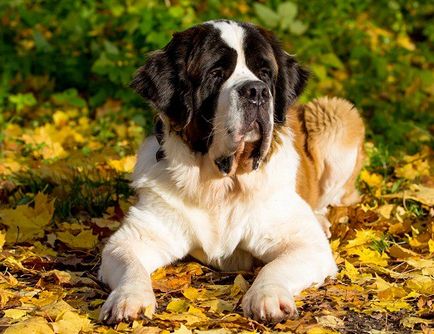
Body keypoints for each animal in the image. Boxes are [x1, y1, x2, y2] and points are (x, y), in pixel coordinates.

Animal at [97, 18, 362, 324]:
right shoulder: (131, 239)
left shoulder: (306, 244)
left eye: (265, 73)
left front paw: (268, 296)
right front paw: (129, 299)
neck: (222, 183)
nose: (257, 91)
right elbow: (129, 263)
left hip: (337, 115)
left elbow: (276, 267)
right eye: (216, 73)